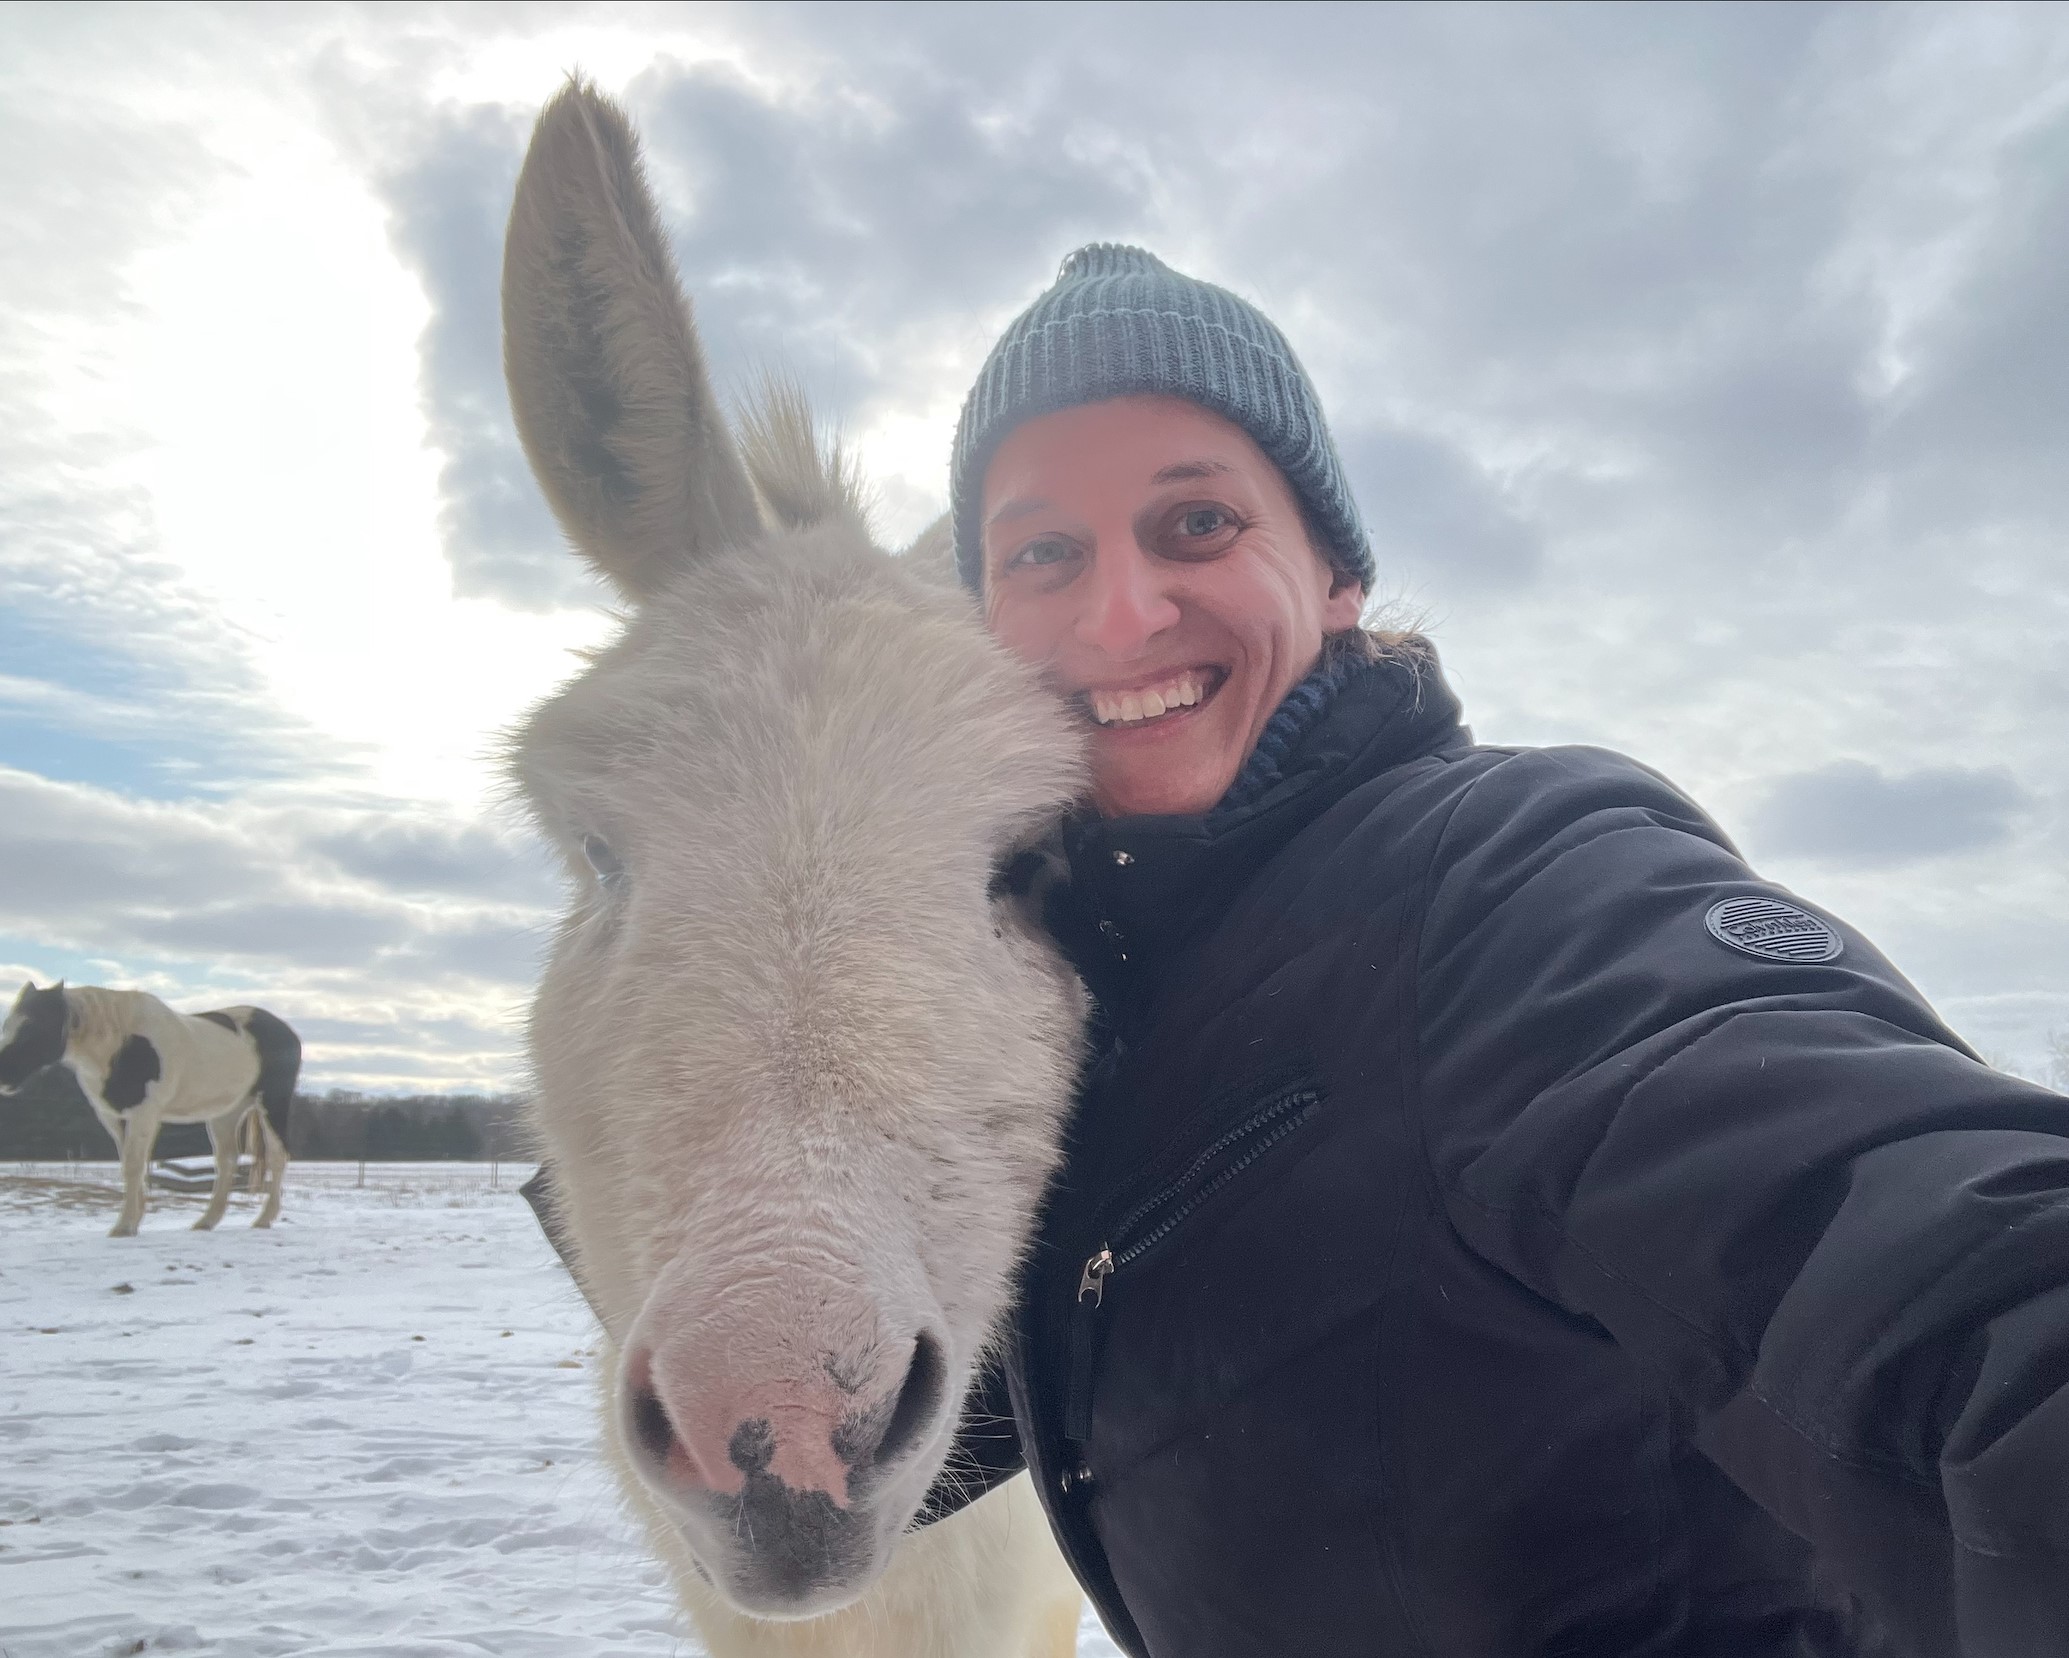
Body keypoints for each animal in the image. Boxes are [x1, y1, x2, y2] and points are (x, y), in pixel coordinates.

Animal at [0, 981, 299, 1236]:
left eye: (32, 1026)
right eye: (7, 1025)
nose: (3, 1078)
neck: (122, 1044)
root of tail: (288, 1032)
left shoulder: (143, 1114)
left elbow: (134, 1165)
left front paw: (124, 1226)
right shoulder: (113, 1117)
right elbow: (131, 1164)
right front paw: (134, 1220)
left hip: (271, 1104)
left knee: (277, 1156)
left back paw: (263, 1219)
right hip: (225, 1114)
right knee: (226, 1162)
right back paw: (206, 1222)